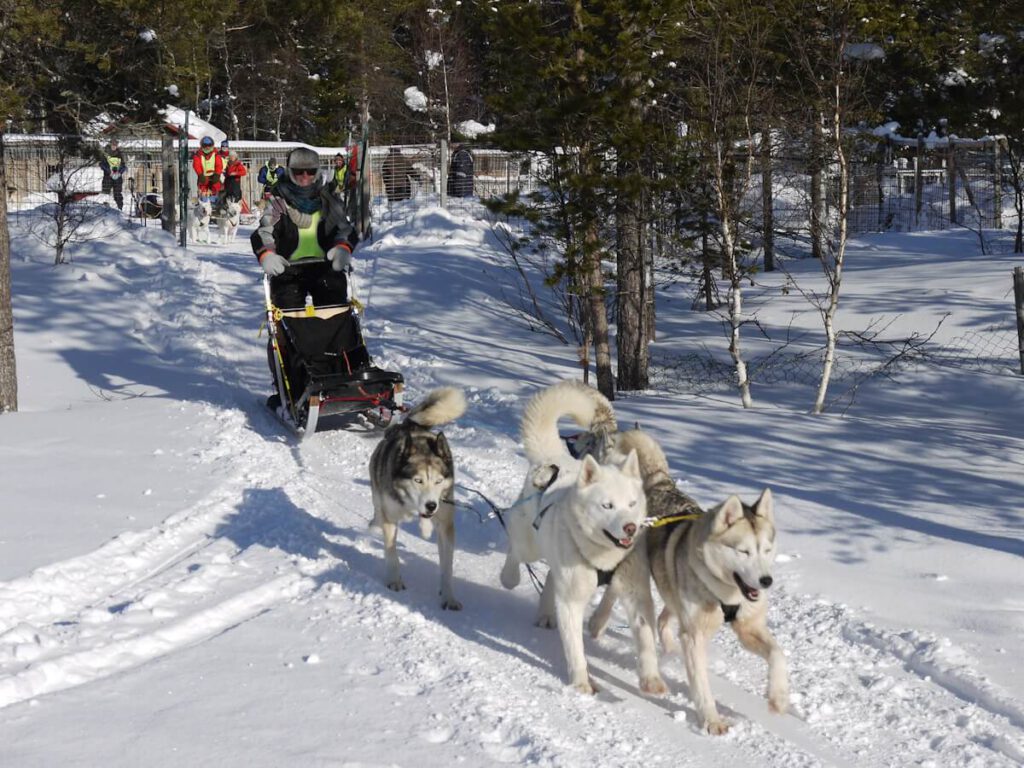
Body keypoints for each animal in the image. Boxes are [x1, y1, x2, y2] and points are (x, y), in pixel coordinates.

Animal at [370, 387, 466, 610]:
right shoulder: (390, 518)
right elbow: (392, 553)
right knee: (377, 511)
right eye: (418, 480)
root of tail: (410, 425)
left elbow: (447, 567)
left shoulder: (446, 524)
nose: (431, 505)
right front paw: (394, 580)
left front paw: (448, 596)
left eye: (439, 481)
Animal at [497, 382, 647, 696]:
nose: (630, 528)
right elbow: (575, 647)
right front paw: (581, 682)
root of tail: (554, 458)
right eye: (607, 506)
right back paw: (510, 577)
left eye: (632, 503)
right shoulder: (571, 601)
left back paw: (545, 613)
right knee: (516, 551)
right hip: (529, 544)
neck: (600, 558)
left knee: (550, 576)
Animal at [589, 436, 786, 737]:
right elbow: (701, 684)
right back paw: (598, 623)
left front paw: (778, 698)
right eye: (743, 552)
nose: (766, 581)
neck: (725, 593)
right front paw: (711, 720)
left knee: (663, 617)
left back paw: (668, 645)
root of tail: (662, 484)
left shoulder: (748, 627)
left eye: (766, 549)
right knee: (616, 593)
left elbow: (778, 655)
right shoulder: (695, 636)